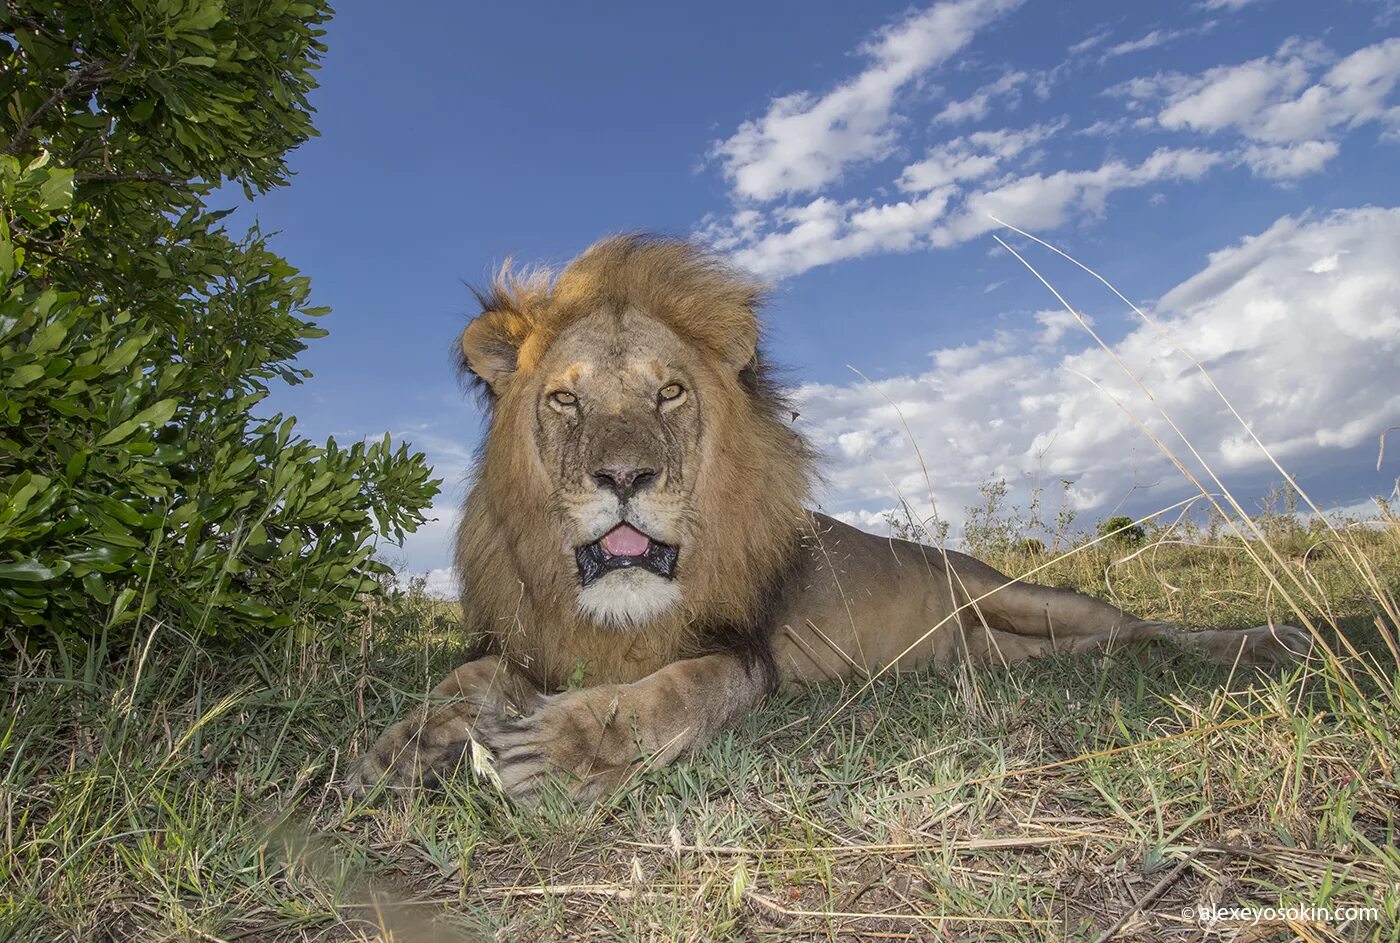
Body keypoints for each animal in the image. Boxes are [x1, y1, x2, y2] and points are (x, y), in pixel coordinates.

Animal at [344, 233, 1304, 800]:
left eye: (670, 391)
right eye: (564, 401)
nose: (623, 475)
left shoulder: (747, 653)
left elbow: (671, 692)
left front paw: (562, 747)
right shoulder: (528, 638)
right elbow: (465, 678)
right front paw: (399, 748)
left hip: (1025, 594)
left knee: (1147, 627)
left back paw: (1271, 638)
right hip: (1007, 648)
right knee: (1099, 647)